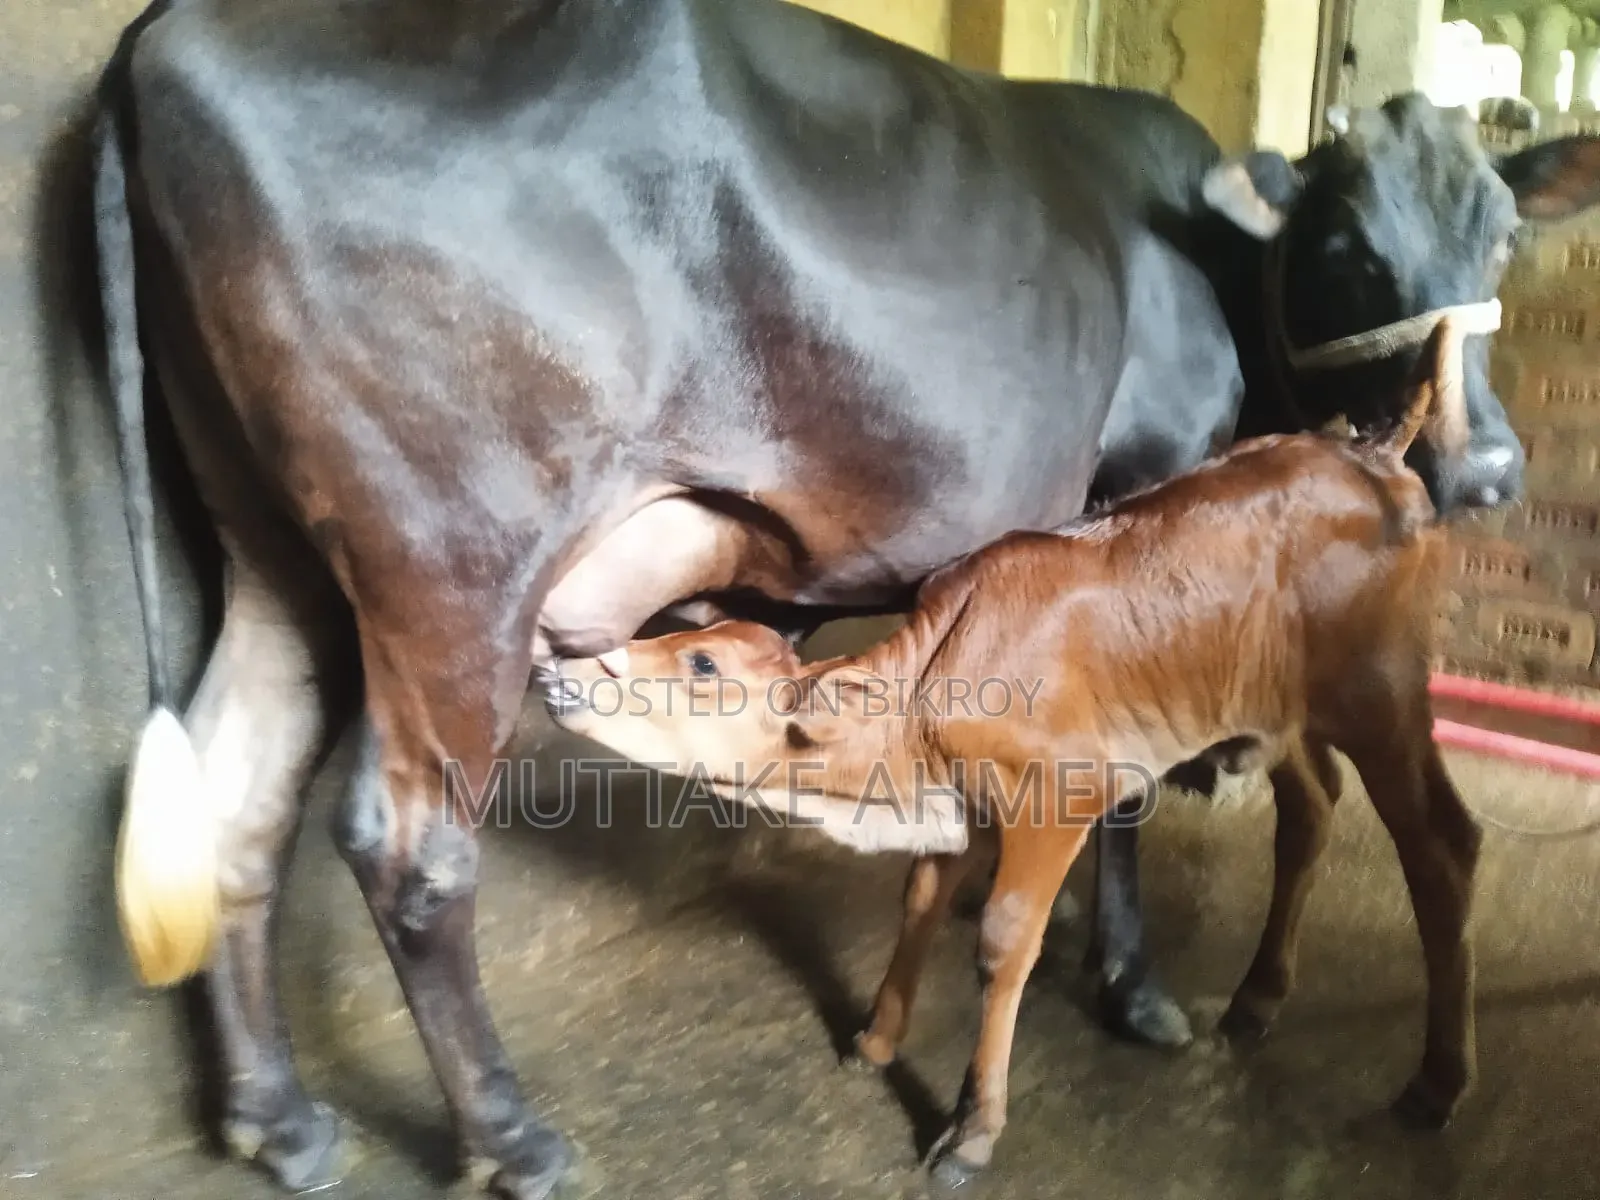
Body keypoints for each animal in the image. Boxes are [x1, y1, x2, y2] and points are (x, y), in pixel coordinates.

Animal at [86, 0, 1600, 1196]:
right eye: (1344, 244)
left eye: (1504, 236)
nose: (1488, 466)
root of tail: (162, 39)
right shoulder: (1136, 477)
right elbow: (1115, 781)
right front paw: (1132, 985)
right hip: (450, 558)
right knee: (409, 850)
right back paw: (512, 1140)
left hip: (272, 547)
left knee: (235, 797)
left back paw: (281, 1123)